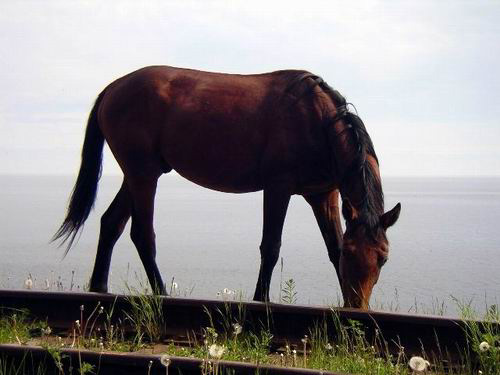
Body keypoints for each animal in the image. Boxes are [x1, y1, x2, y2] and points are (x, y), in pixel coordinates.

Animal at [52, 66, 400, 310]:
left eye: (383, 258)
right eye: (354, 253)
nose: (358, 305)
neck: (318, 121)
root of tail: (113, 87)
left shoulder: (323, 195)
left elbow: (332, 247)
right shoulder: (278, 187)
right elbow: (271, 246)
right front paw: (261, 299)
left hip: (139, 174)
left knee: (111, 223)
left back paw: (99, 287)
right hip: (143, 174)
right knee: (141, 234)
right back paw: (160, 293)